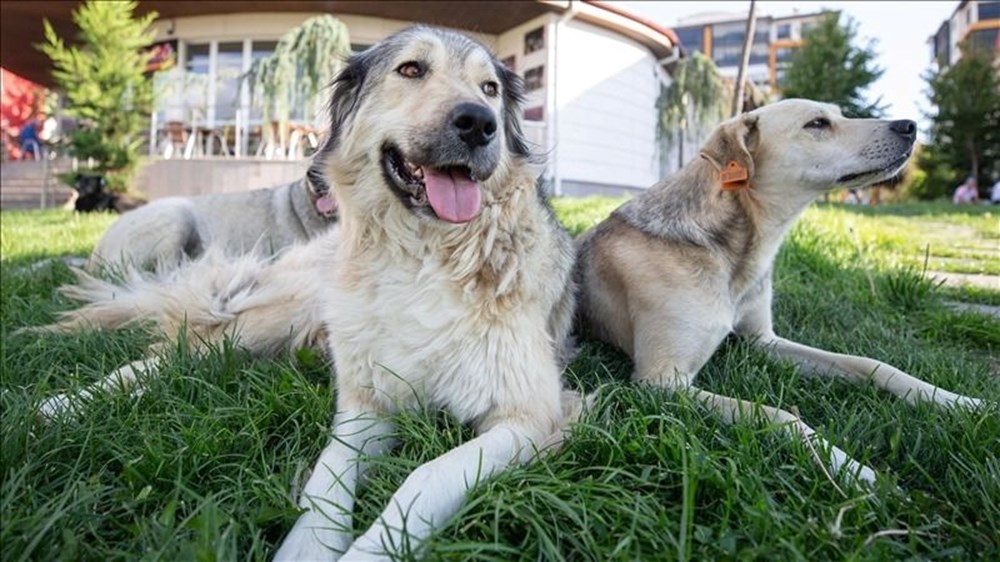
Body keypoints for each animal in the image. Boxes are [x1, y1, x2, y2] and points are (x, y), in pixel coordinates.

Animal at [576, 98, 980, 484]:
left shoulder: (762, 341)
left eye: (838, 114)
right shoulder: (661, 381)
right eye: (817, 123)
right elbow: (780, 414)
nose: (910, 126)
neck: (735, 248)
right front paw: (852, 469)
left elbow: (872, 364)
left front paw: (954, 400)